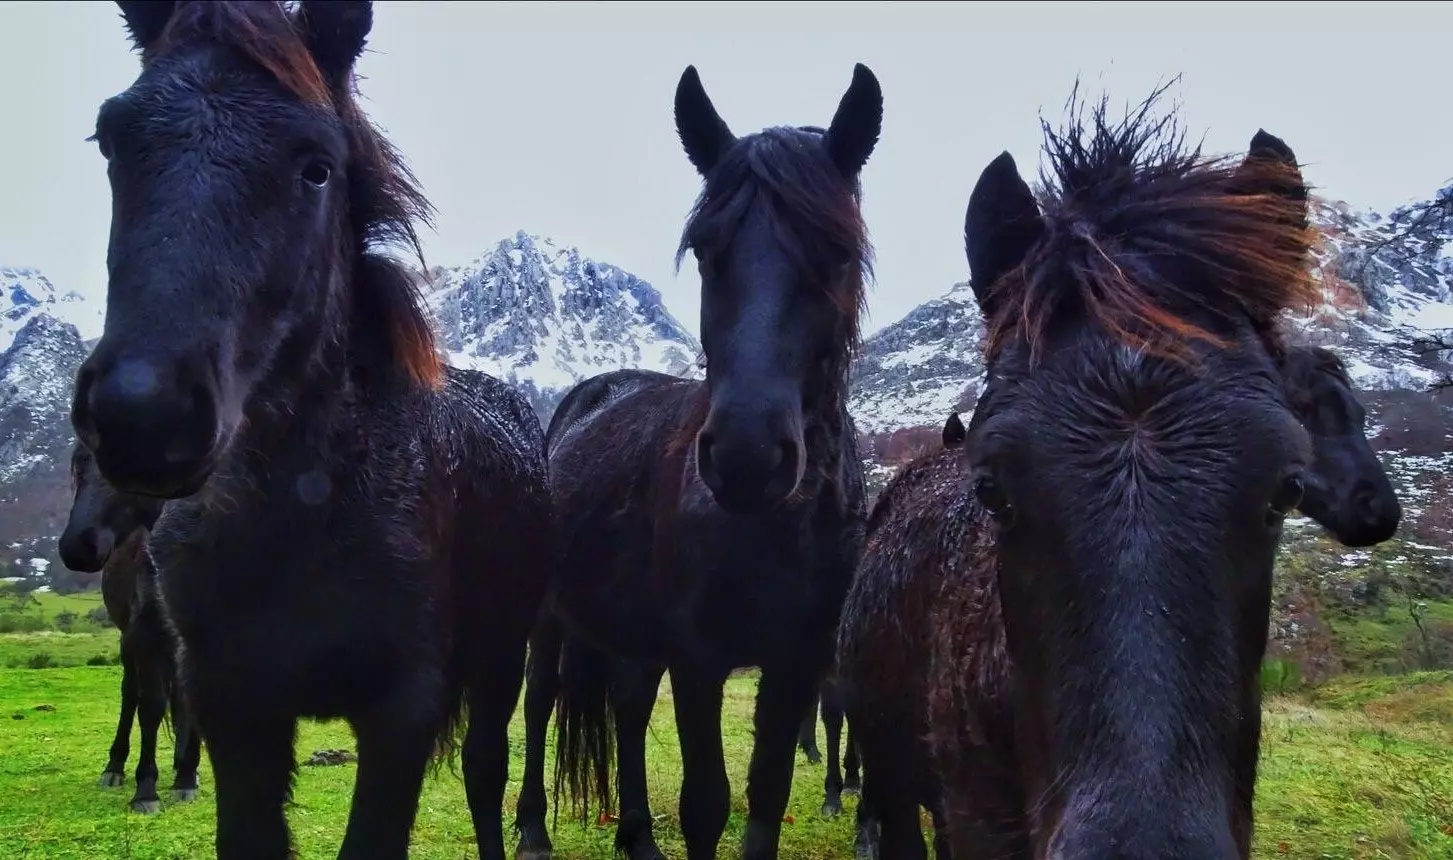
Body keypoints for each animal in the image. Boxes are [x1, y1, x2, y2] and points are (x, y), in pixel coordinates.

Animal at [56, 444, 201, 813]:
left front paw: (186, 778)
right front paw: (146, 791)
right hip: (128, 641)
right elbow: (149, 707)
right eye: (78, 466)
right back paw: (115, 768)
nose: (79, 547)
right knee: (130, 695)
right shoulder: (145, 635)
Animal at [517, 65, 877, 860]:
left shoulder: (795, 661)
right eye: (708, 252)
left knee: (624, 705)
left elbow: (766, 792)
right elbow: (706, 803)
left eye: (837, 253)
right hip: (552, 618)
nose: (746, 456)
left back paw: (637, 838)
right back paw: (529, 830)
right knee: (539, 704)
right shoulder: (699, 656)